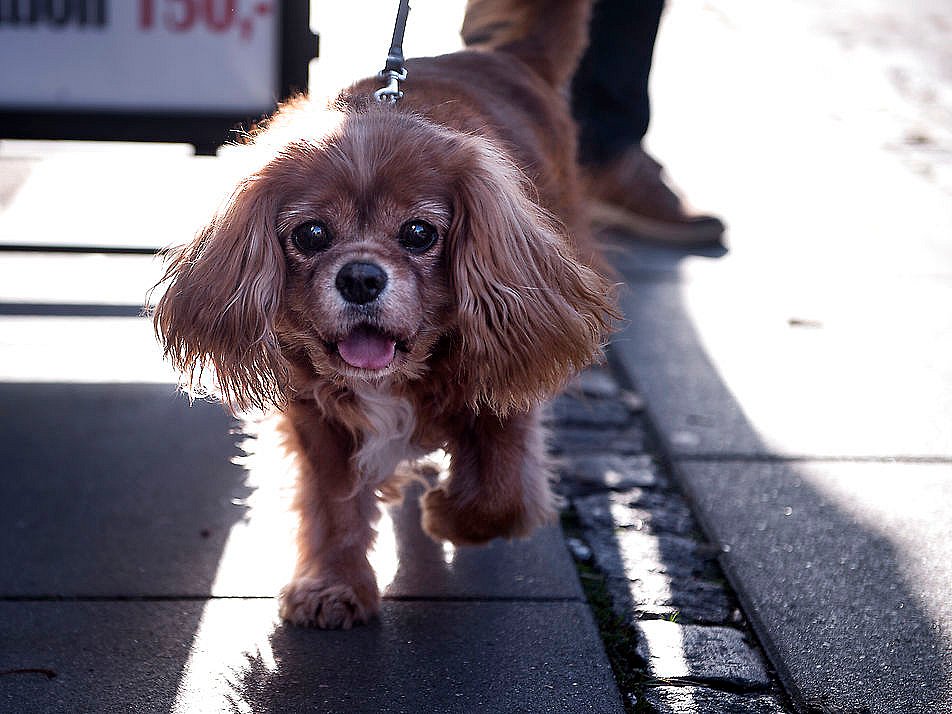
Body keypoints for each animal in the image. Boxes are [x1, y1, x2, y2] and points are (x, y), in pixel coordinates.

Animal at [154, 0, 616, 624]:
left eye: (419, 234)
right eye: (312, 234)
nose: (360, 276)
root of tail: (504, 58)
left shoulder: (509, 365)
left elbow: (500, 491)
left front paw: (449, 516)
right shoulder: (315, 421)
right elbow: (333, 506)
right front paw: (332, 586)